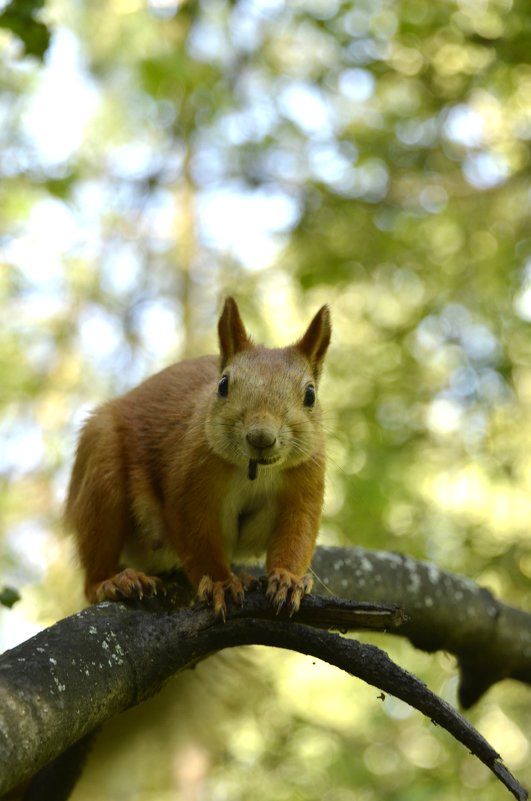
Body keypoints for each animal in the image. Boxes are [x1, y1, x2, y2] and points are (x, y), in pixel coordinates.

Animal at [65, 298, 332, 620]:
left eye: (310, 395)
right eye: (223, 385)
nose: (260, 438)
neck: (255, 471)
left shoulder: (305, 482)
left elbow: (298, 533)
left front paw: (287, 579)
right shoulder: (189, 479)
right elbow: (198, 541)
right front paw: (221, 584)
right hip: (102, 470)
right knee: (95, 565)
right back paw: (114, 582)